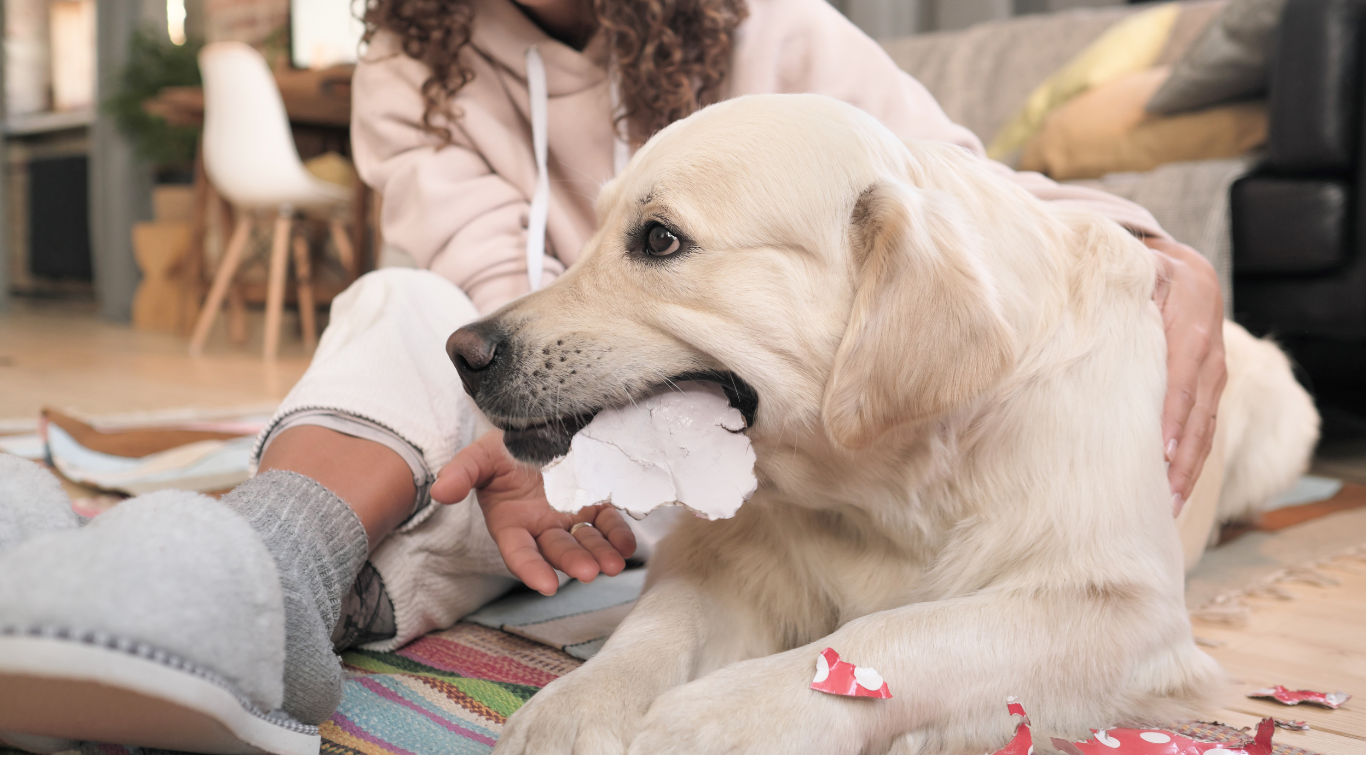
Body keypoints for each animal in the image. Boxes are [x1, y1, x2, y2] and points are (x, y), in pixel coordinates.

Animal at [442, 92, 1316, 748]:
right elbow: (653, 628)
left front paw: (718, 720)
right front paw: (574, 707)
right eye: (598, 229)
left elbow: (902, 635)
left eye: (659, 239)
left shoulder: (1120, 609)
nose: (462, 350)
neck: (885, 481)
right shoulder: (725, 552)